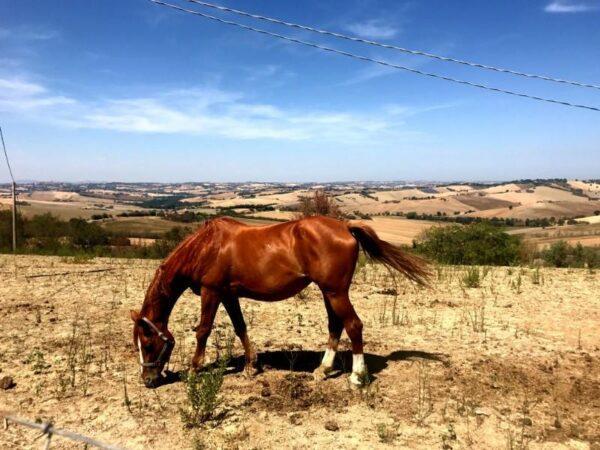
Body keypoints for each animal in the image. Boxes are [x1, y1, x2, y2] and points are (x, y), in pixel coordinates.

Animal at [132, 214, 432, 386]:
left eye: (148, 343)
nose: (147, 380)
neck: (206, 246)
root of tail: (345, 227)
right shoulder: (229, 294)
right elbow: (240, 327)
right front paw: (251, 366)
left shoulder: (212, 291)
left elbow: (203, 330)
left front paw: (194, 370)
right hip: (329, 292)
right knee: (336, 326)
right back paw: (323, 370)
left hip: (335, 292)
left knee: (353, 325)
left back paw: (357, 377)